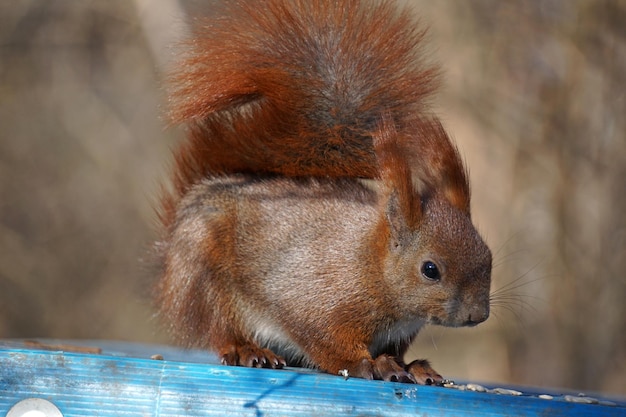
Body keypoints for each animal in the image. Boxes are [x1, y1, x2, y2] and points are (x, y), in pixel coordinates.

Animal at [154, 0, 490, 384]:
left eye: (488, 257)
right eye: (430, 269)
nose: (477, 315)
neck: (369, 265)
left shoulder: (398, 333)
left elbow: (394, 352)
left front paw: (408, 366)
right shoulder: (315, 300)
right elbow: (326, 341)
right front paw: (366, 364)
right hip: (201, 277)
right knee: (219, 327)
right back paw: (247, 350)